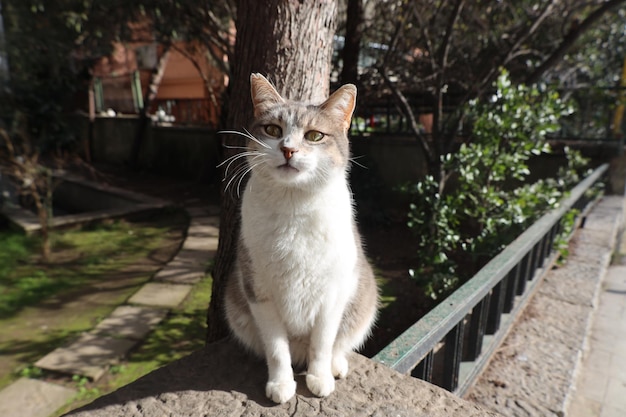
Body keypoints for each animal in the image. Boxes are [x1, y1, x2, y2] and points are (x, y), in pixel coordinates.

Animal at [224, 73, 380, 402]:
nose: (288, 150)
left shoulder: (333, 293)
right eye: (273, 130)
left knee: (337, 345)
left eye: (314, 136)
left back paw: (335, 366)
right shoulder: (259, 292)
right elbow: (276, 348)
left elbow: (322, 343)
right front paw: (281, 384)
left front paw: (319, 379)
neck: (293, 206)